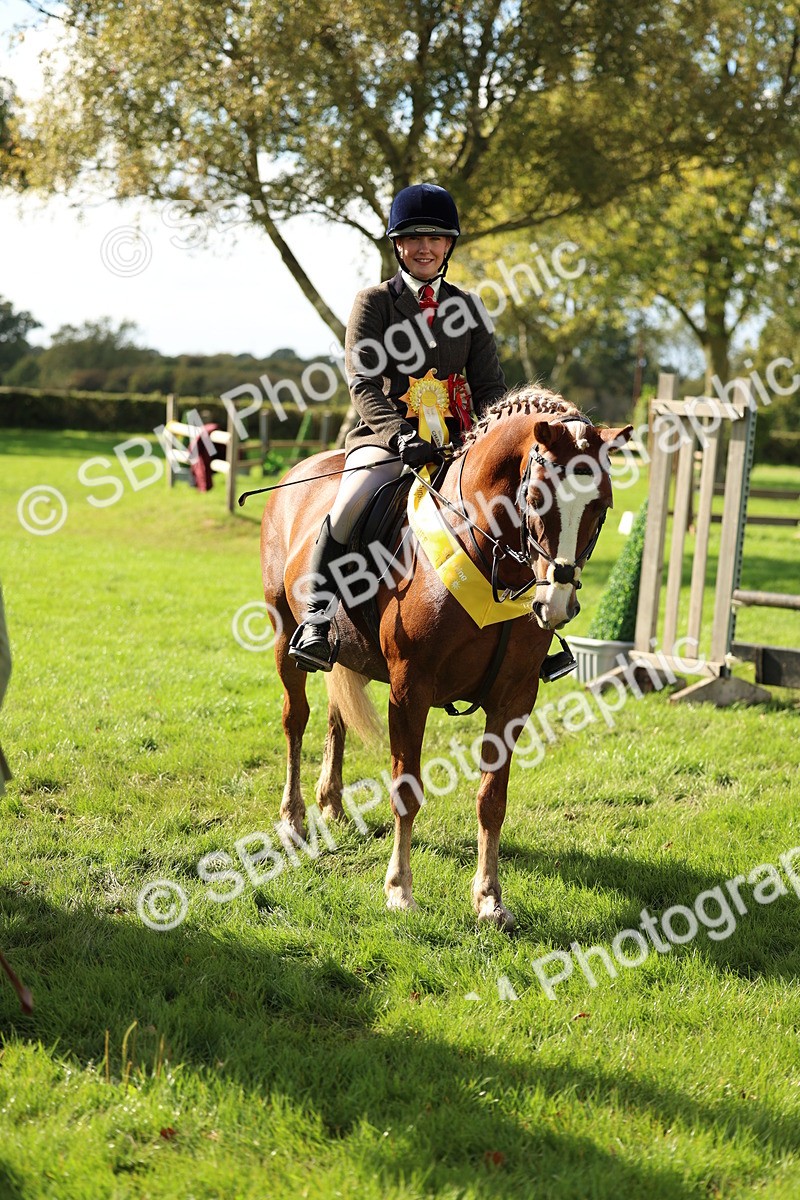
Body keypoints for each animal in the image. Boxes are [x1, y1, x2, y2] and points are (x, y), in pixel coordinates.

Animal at [260, 386, 632, 928]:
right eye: (536, 499)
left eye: (601, 506)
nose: (557, 604)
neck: (488, 555)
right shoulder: (409, 689)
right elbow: (406, 788)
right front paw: (399, 890)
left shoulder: (514, 698)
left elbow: (492, 799)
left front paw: (490, 899)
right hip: (283, 632)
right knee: (296, 719)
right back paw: (293, 820)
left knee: (334, 717)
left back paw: (331, 803)